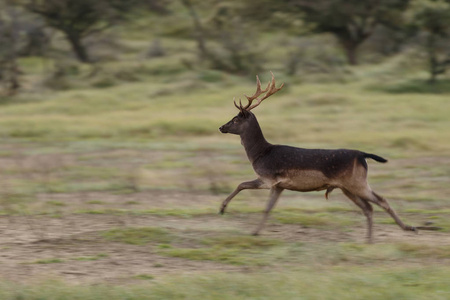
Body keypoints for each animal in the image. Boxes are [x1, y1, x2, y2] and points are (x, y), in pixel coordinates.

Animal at [218, 72, 418, 244]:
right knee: (368, 208)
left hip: (357, 183)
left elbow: (243, 186)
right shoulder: (279, 186)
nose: (221, 127)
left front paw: (224, 210)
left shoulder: (268, 179)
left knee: (380, 200)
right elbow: (267, 206)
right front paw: (253, 230)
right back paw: (371, 239)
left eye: (236, 119)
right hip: (347, 187)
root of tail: (362, 155)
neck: (260, 154)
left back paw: (408, 228)